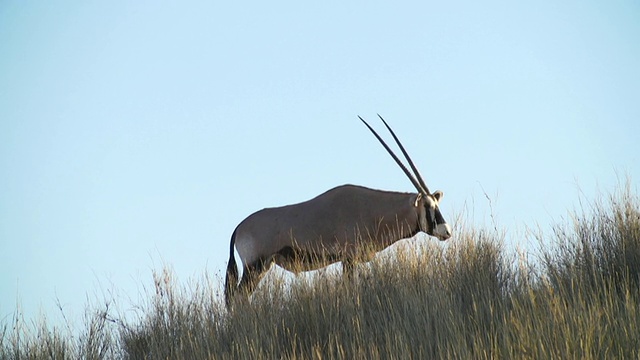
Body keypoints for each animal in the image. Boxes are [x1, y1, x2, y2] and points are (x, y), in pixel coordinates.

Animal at [222, 115, 452, 306]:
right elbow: (350, 290)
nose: (446, 231)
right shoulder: (348, 259)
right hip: (255, 266)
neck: (371, 208)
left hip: (262, 267)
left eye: (437, 204)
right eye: (427, 206)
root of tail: (239, 228)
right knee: (237, 298)